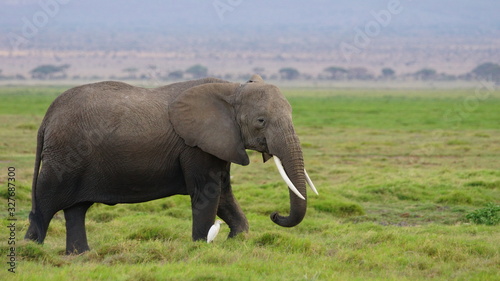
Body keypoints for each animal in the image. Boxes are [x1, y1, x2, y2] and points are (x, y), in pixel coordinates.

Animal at [24, 74, 316, 254]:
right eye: (261, 121)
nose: (275, 215)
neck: (232, 87)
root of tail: (47, 117)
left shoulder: (219, 142)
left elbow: (223, 193)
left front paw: (237, 240)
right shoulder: (195, 145)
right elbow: (208, 193)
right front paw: (200, 246)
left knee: (76, 209)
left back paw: (80, 256)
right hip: (64, 157)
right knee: (45, 206)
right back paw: (30, 252)